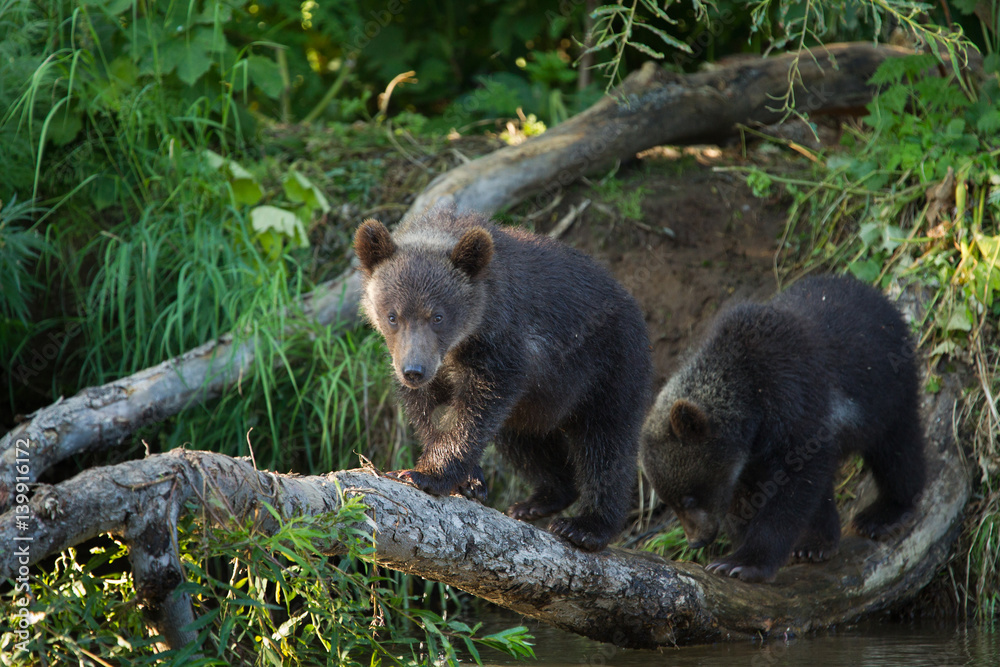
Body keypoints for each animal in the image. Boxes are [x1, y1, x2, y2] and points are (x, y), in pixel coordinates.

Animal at [354, 209, 653, 552]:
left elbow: (477, 409)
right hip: (536, 403)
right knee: (525, 443)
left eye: (438, 316)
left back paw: (587, 526)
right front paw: (470, 480)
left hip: (610, 367)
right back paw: (539, 500)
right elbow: (430, 413)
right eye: (393, 316)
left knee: (606, 443)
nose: (414, 371)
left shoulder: (502, 349)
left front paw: (424, 474)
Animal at [640, 274, 926, 582]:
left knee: (897, 447)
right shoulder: (748, 461)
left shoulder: (796, 406)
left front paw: (740, 562)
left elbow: (791, 490)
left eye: (689, 498)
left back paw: (884, 513)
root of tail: (874, 292)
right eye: (669, 501)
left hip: (887, 388)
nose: (696, 541)